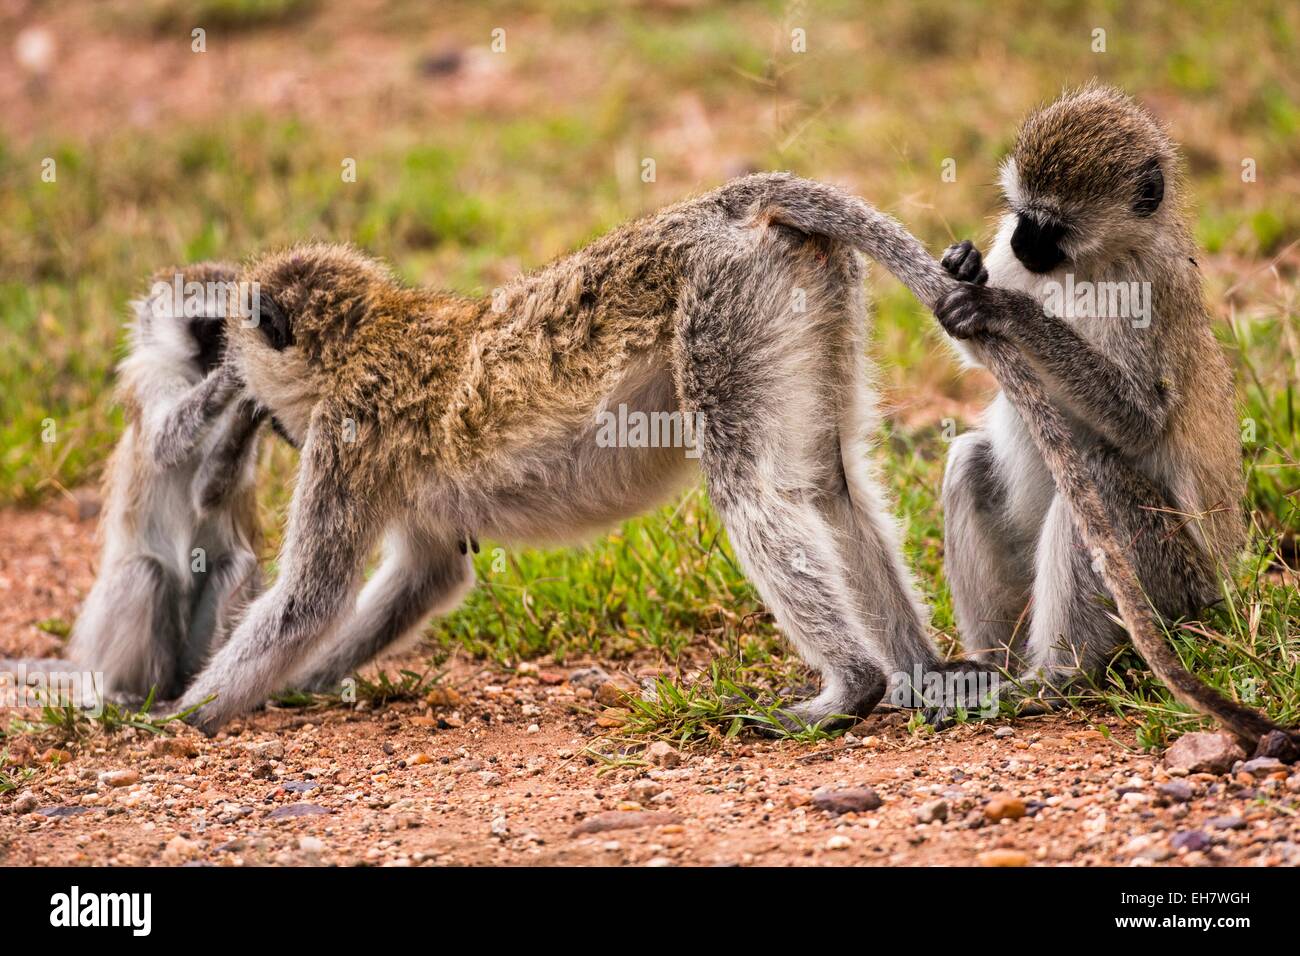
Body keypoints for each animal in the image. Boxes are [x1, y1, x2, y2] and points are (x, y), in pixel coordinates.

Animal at [64, 263, 266, 703]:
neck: (191, 378)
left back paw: (201, 683)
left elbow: (207, 496)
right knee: (144, 573)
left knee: (238, 564)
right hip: (106, 637)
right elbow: (161, 444)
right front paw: (232, 377)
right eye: (212, 329)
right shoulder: (148, 377)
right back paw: (132, 692)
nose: (228, 352)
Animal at [930, 85, 1295, 748]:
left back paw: (1052, 680)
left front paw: (1007, 307)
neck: (1090, 262)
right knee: (969, 461)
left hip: (1176, 589)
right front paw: (967, 268)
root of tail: (1217, 598)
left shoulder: (1150, 286)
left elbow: (1139, 420)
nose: (1019, 243)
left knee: (1097, 481)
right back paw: (991, 667)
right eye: (1021, 213)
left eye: (1053, 225)